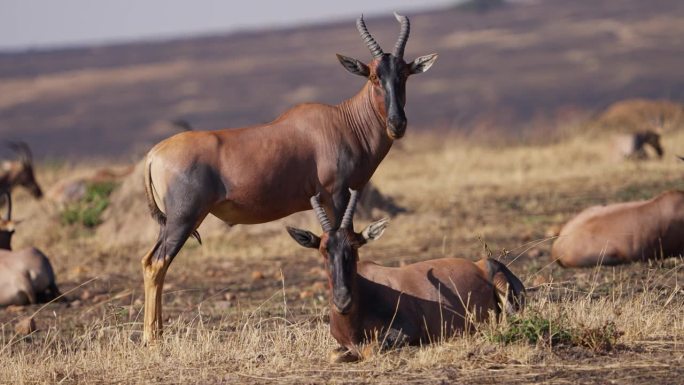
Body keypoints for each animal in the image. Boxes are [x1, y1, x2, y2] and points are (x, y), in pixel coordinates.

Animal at [139, 12, 438, 342]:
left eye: (405, 73)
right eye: (373, 75)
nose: (397, 124)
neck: (341, 121)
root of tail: (154, 154)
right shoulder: (336, 194)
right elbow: (341, 239)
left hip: (174, 221)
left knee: (151, 261)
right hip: (184, 217)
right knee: (156, 263)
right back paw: (151, 338)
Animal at [286, 190, 528, 362]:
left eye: (355, 246)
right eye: (323, 249)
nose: (343, 301)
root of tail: (483, 264)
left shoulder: (405, 330)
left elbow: (370, 350)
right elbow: (335, 355)